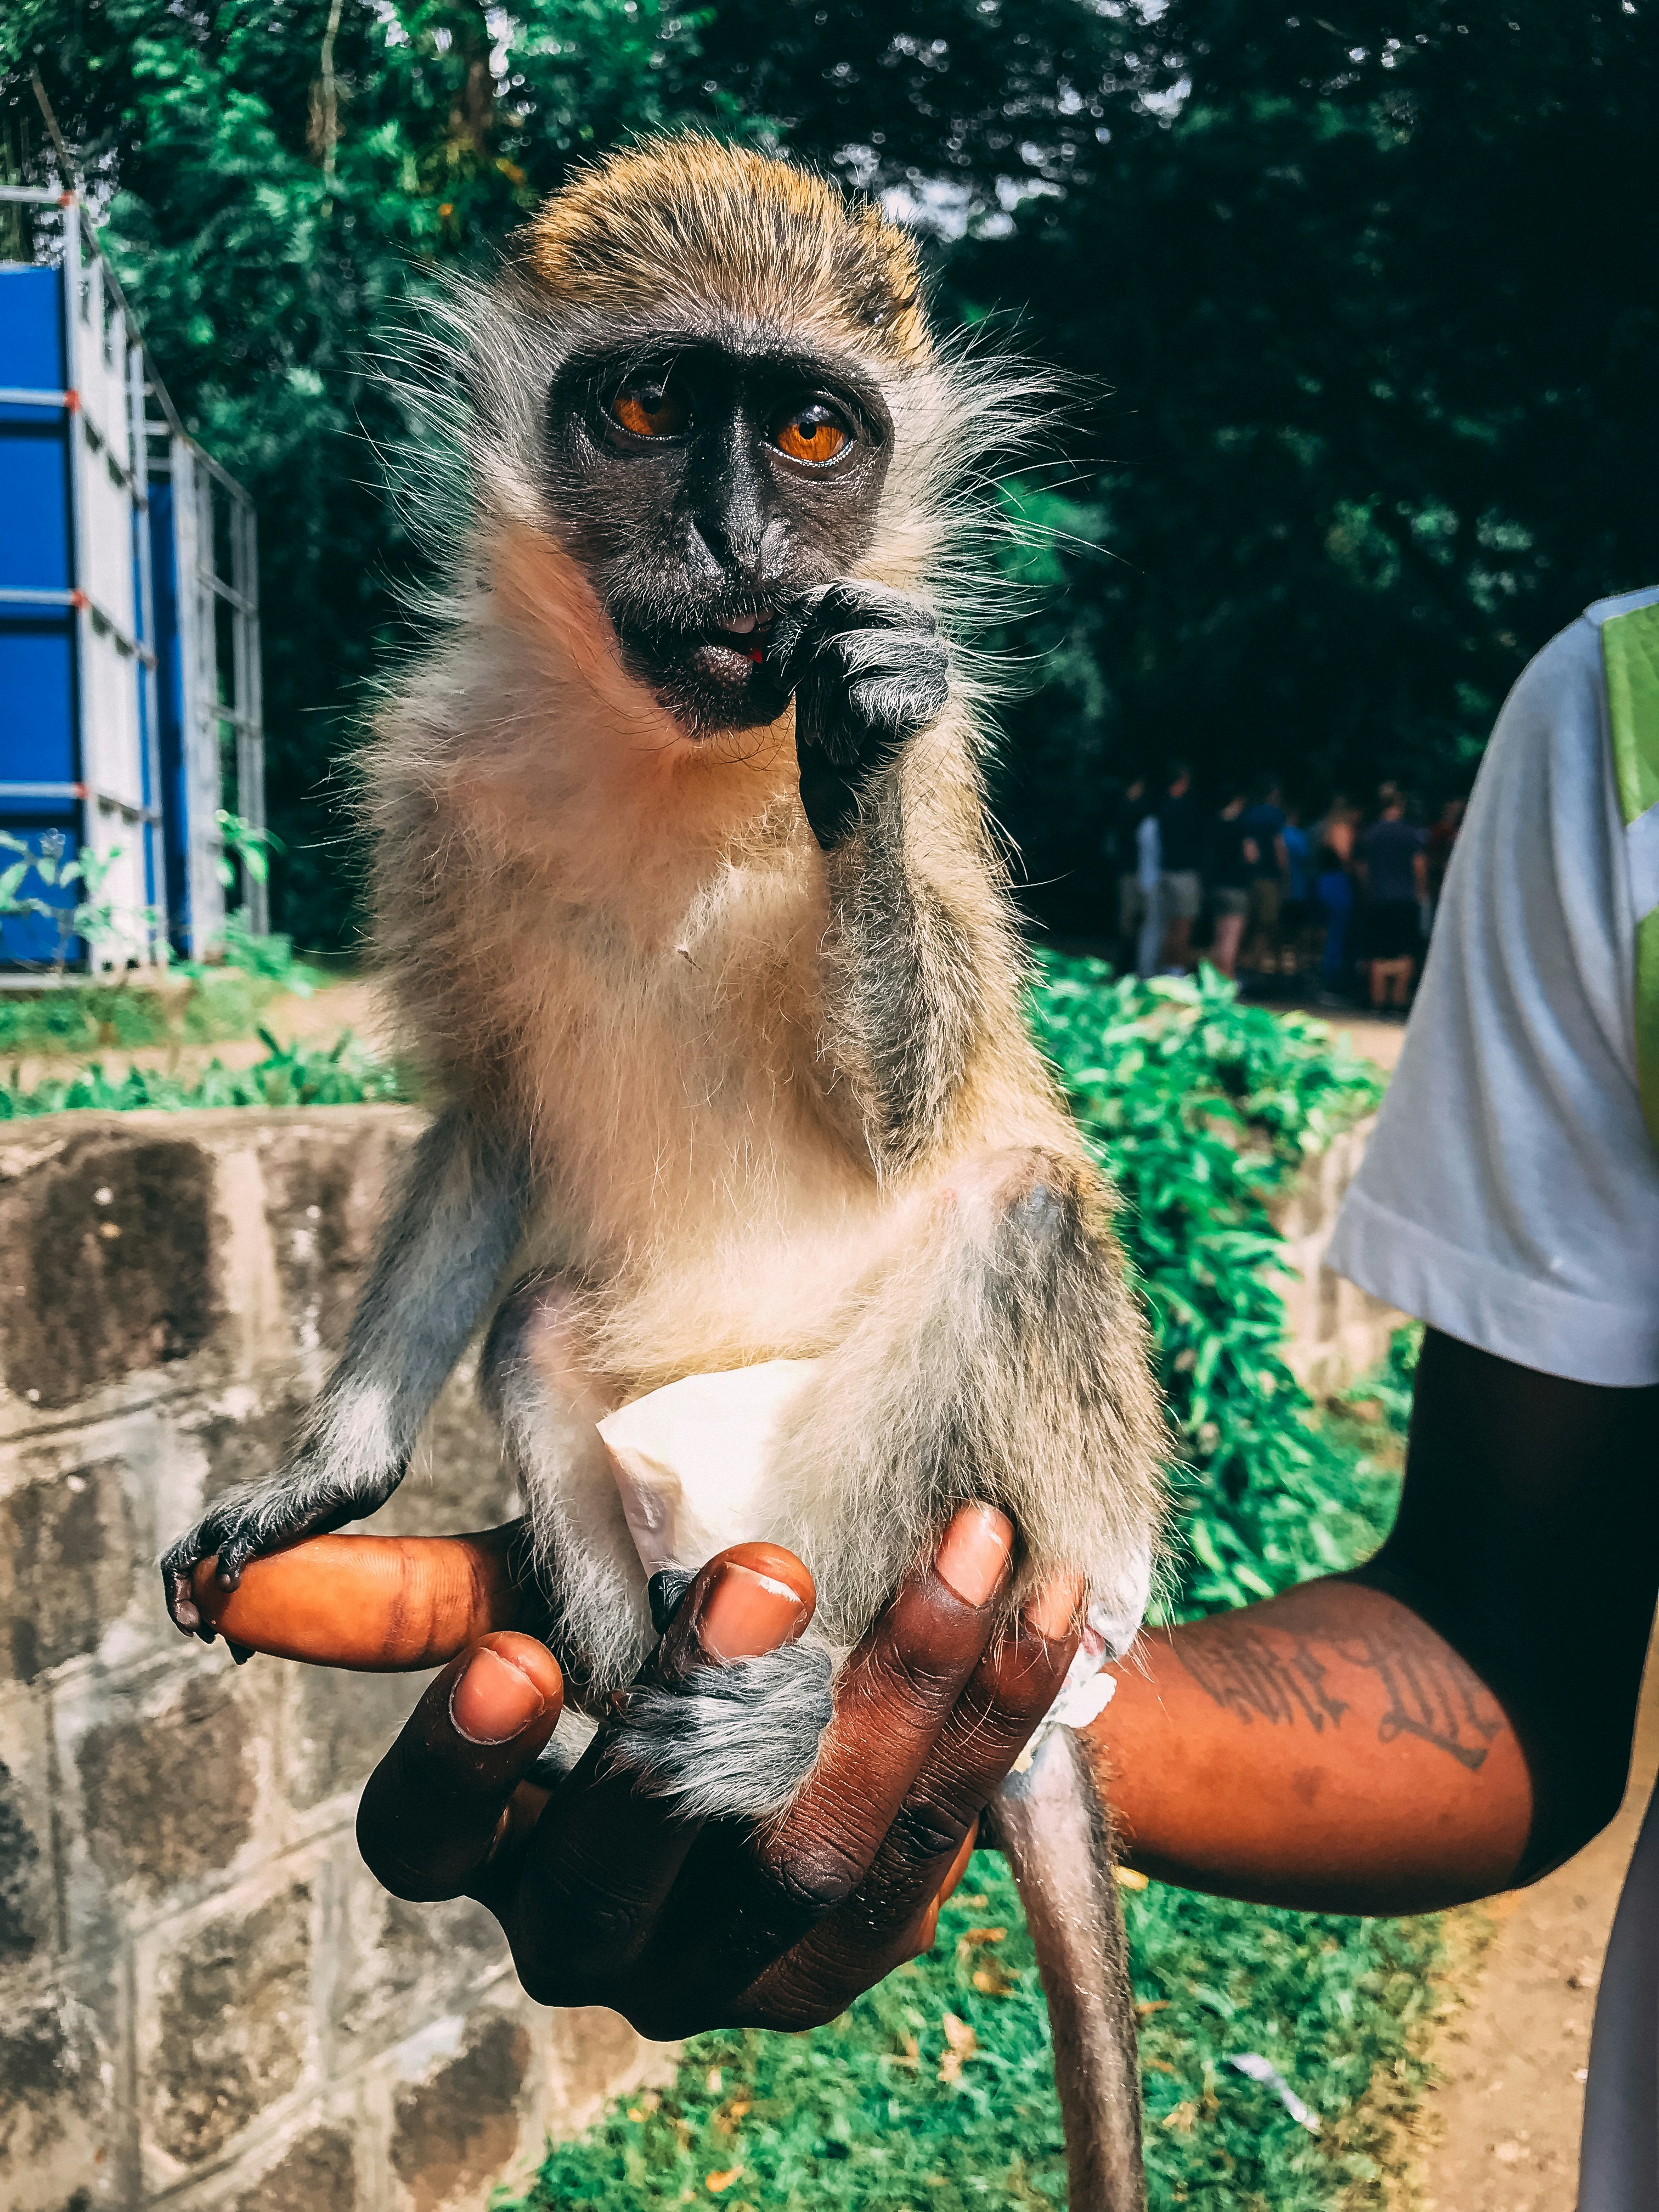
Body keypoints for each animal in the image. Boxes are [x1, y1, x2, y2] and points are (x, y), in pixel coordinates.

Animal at [160, 138, 1165, 2212]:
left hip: (1046, 1535)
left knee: (1017, 1226)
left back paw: (801, 1715)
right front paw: (326, 1478)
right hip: (649, 1414)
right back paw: (618, 1716)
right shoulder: (426, 775)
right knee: (538, 1332)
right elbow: (489, 1120)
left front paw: (852, 731)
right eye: (644, 409)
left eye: (811, 428)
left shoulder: (957, 767)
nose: (741, 552)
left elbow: (921, 1115)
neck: (666, 753)